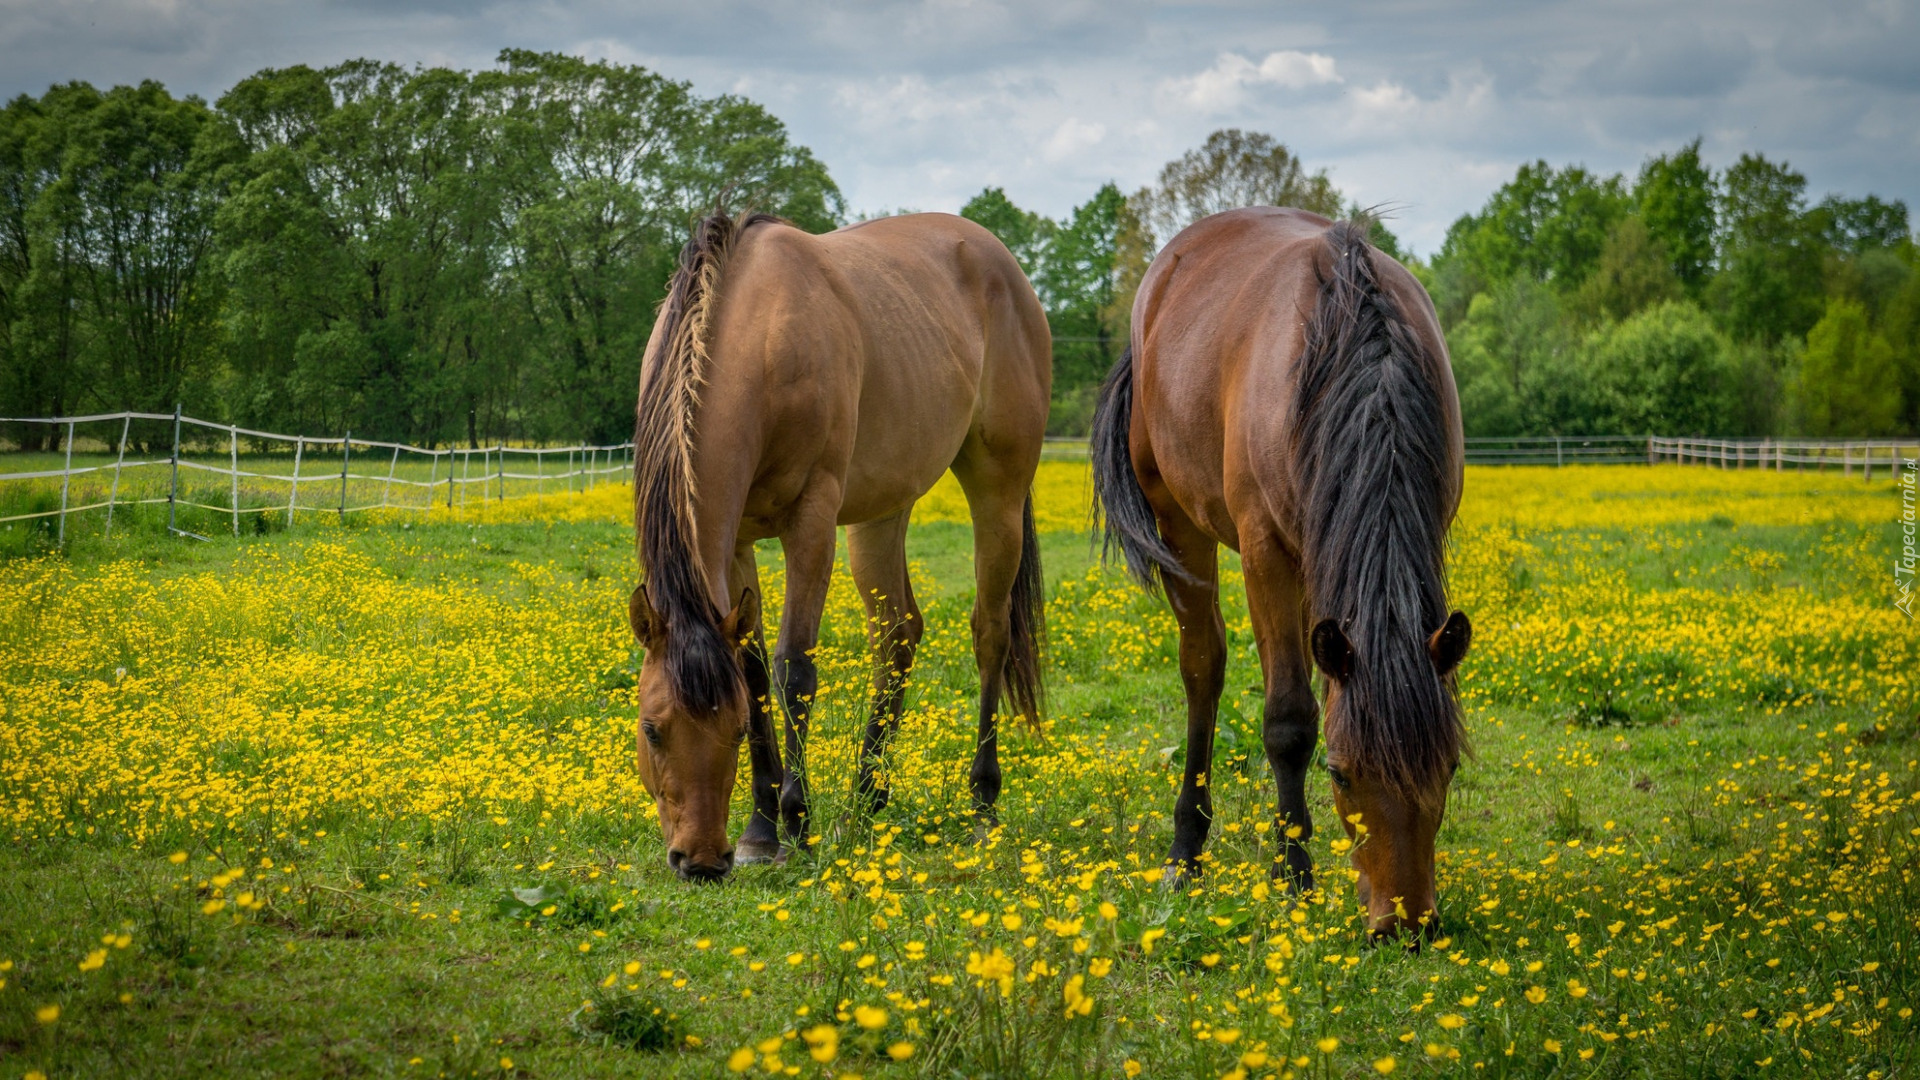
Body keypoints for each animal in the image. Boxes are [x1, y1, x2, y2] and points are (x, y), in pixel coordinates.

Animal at [629, 208, 1052, 876]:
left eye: (732, 730)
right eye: (652, 728)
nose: (700, 861)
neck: (759, 332)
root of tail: (1001, 261)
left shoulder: (811, 522)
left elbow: (792, 668)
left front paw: (796, 820)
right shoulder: (739, 542)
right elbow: (753, 671)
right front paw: (760, 827)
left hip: (998, 494)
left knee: (990, 635)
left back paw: (982, 804)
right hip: (881, 516)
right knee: (897, 636)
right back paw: (868, 798)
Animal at [1098, 208, 1466, 933]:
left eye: (1446, 770)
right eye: (1342, 773)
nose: (1405, 926)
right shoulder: (1265, 550)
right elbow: (1291, 721)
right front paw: (1294, 878)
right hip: (1181, 524)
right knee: (1203, 668)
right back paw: (1186, 852)